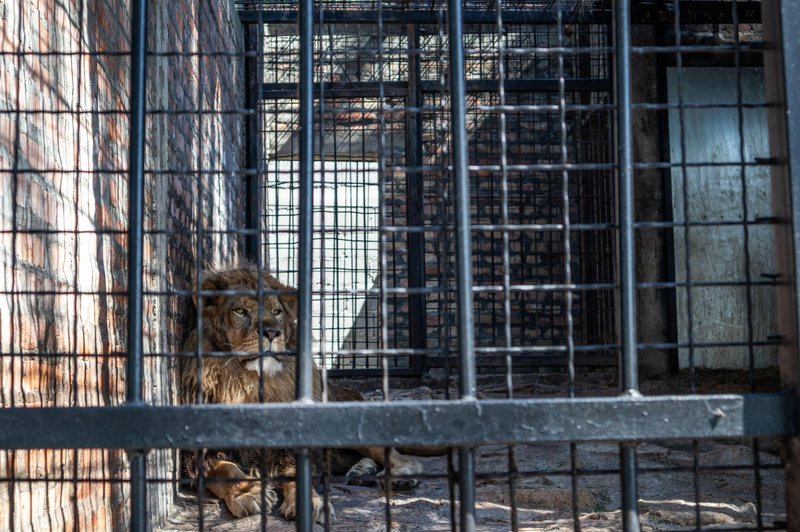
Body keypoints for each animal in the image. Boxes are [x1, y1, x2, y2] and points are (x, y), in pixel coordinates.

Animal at [180, 264, 428, 520]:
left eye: (277, 312)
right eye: (240, 311)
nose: (272, 332)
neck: (247, 383)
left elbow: (297, 474)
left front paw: (310, 502)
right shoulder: (199, 451)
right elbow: (225, 470)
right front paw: (247, 493)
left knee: (386, 450)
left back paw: (402, 472)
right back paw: (362, 471)